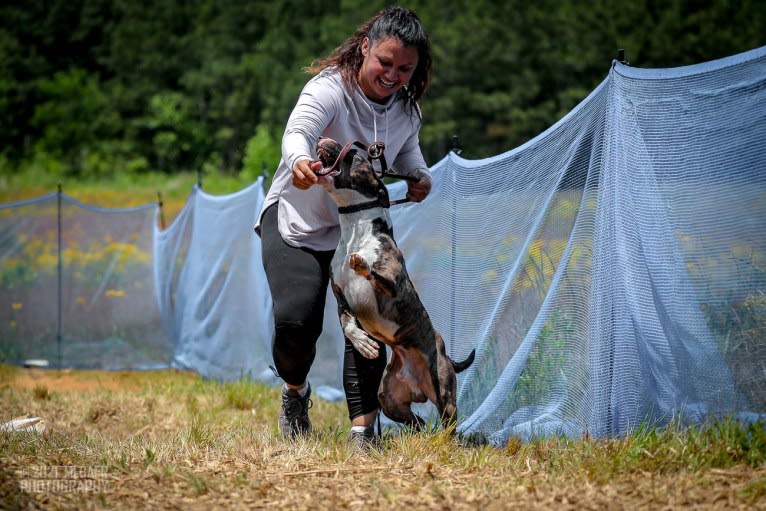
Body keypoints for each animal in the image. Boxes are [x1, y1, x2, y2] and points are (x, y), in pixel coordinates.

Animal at [316, 138, 474, 430]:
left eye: (353, 153)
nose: (324, 139)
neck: (357, 229)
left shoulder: (393, 284)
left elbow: (375, 274)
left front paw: (362, 264)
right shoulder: (340, 297)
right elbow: (347, 323)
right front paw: (363, 343)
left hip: (444, 390)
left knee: (449, 422)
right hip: (389, 398)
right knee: (417, 422)